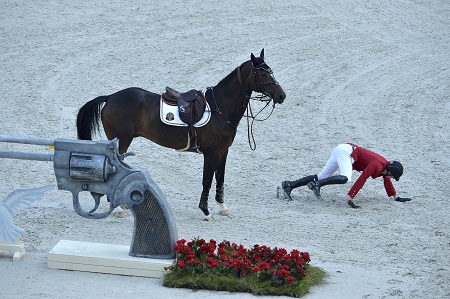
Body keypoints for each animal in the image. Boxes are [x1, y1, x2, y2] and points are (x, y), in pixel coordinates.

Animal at [74, 49, 284, 221]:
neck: (219, 108)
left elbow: (220, 179)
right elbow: (207, 180)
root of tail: (110, 97)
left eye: (270, 70)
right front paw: (206, 212)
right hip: (121, 142)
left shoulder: (223, 151)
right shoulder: (211, 153)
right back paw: (118, 209)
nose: (282, 96)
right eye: (263, 73)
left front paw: (222, 207)